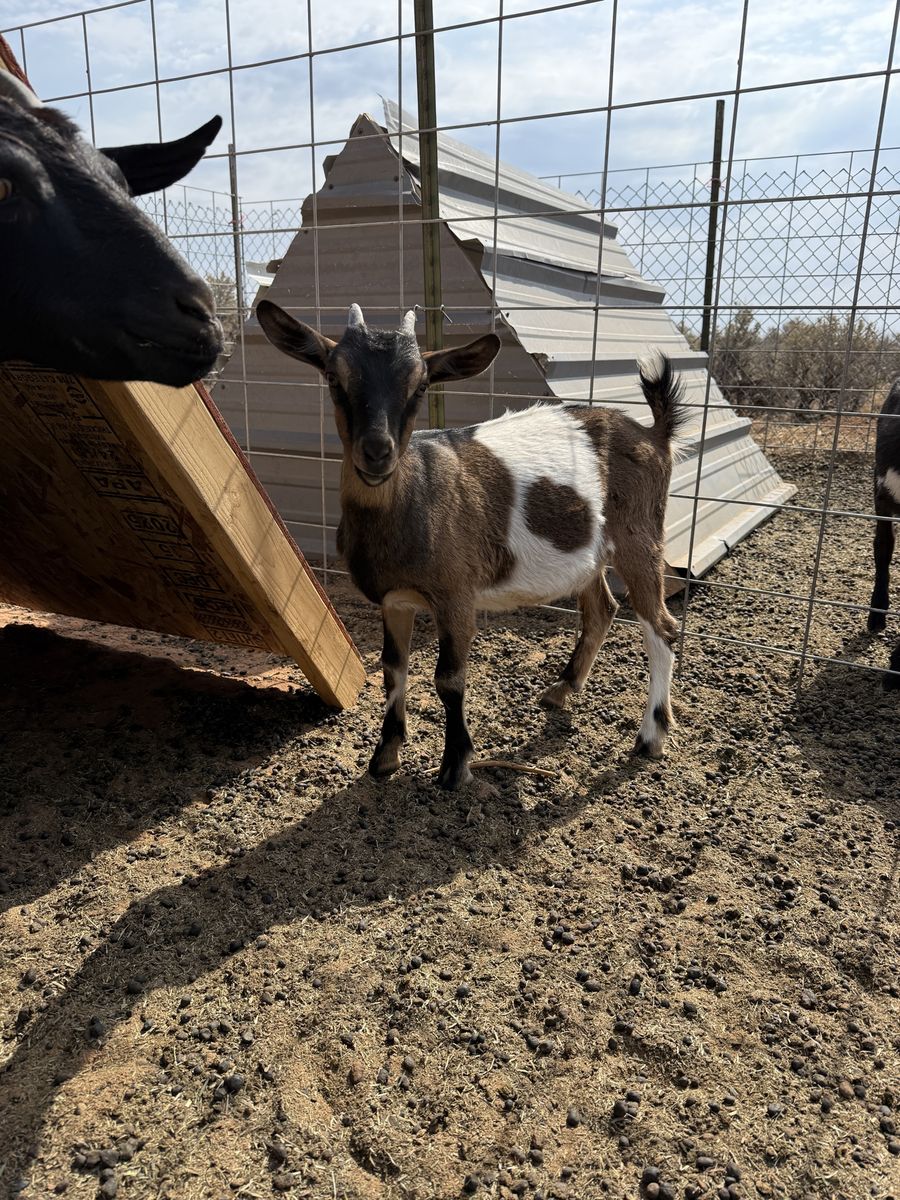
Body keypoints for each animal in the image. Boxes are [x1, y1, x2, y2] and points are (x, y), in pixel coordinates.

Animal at [257, 300, 686, 788]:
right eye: (333, 376)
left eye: (421, 384)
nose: (377, 451)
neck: (414, 497)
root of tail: (655, 435)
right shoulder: (395, 600)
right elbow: (392, 669)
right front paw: (385, 757)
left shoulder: (455, 595)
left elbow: (449, 678)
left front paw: (455, 765)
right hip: (588, 555)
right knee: (602, 609)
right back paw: (560, 691)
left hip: (640, 535)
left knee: (661, 626)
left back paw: (650, 736)